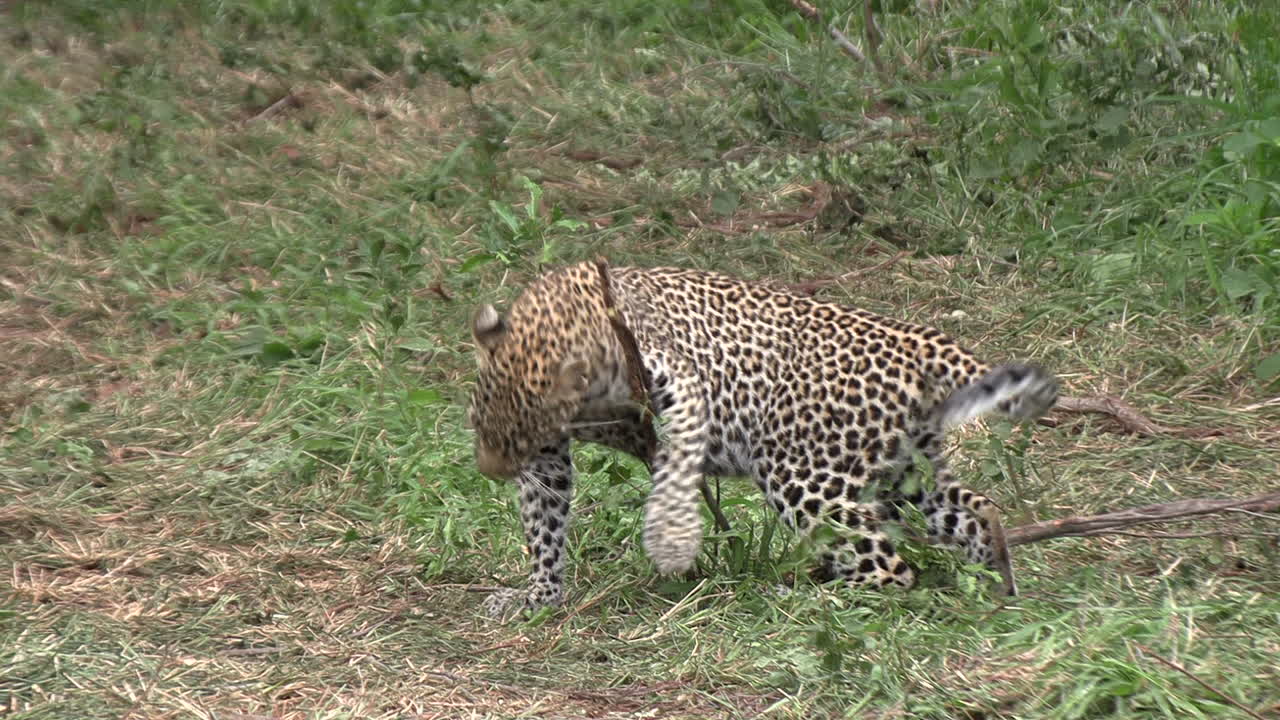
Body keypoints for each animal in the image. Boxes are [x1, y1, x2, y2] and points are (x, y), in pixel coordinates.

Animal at [467, 260, 1058, 618]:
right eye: (480, 425)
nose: (489, 471)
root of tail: (921, 342)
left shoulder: (680, 380)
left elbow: (676, 458)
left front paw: (672, 543)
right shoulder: (551, 456)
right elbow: (544, 523)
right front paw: (539, 596)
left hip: (804, 475)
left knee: (891, 573)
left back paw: (805, 598)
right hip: (900, 470)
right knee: (975, 507)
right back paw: (994, 585)